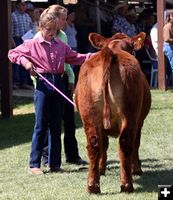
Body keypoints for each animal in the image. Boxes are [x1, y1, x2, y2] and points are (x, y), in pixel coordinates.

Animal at [75, 32, 151, 194]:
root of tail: (110, 53)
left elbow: (104, 145)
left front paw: (101, 169)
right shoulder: (139, 122)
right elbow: (136, 144)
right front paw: (137, 169)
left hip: (89, 114)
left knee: (94, 144)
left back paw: (93, 186)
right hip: (130, 113)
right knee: (126, 143)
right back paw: (127, 185)